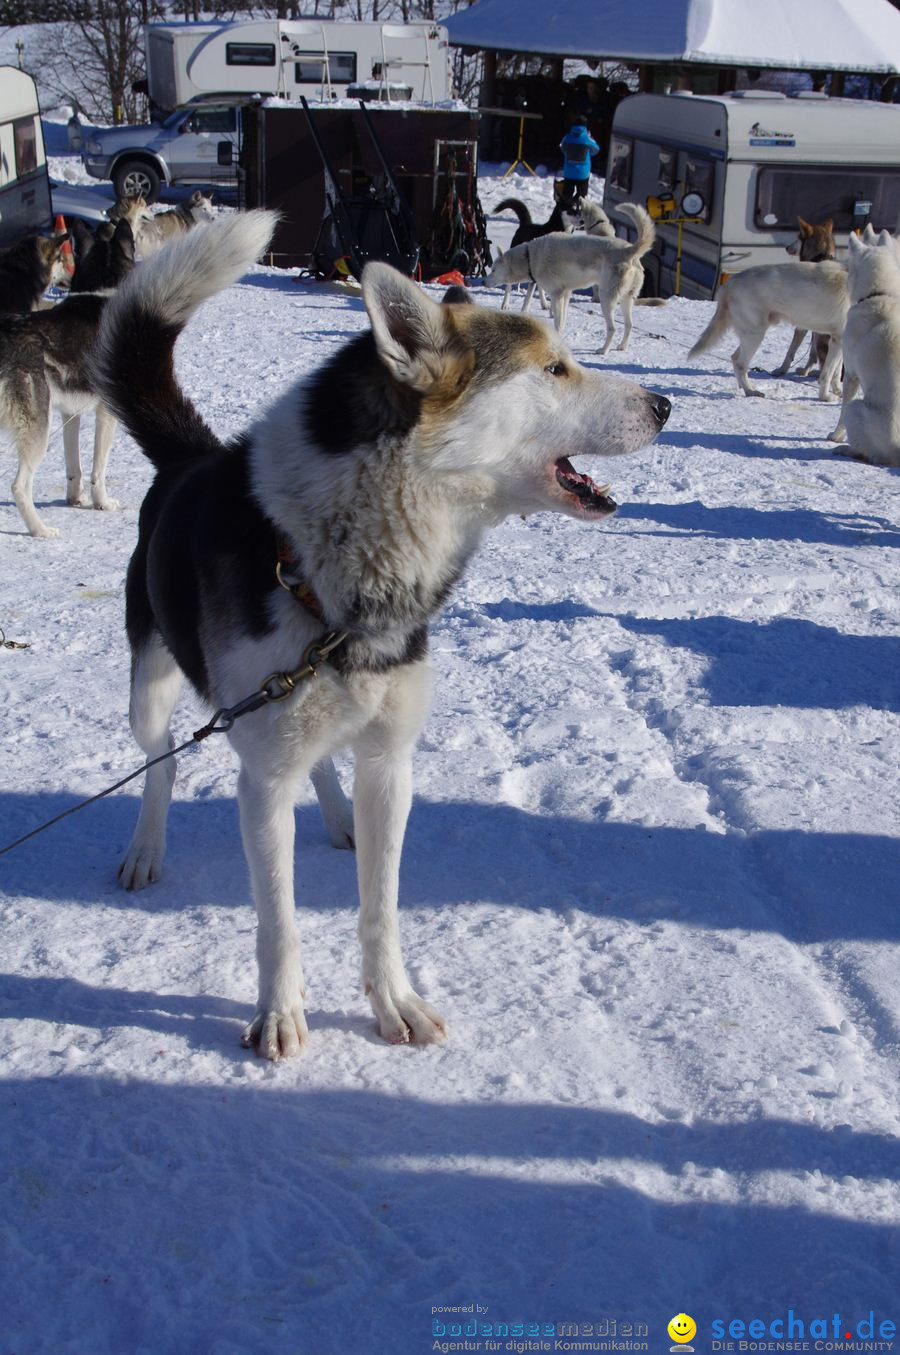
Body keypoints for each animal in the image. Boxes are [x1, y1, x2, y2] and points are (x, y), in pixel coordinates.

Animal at [91, 214, 672, 1056]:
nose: (664, 403)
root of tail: (189, 458)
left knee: (324, 764)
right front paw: (278, 1013)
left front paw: (393, 1000)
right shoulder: (263, 780)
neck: (329, 569)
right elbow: (279, 921)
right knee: (161, 762)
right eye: (556, 368)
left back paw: (338, 818)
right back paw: (145, 846)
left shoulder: (391, 763)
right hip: (151, 688)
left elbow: (380, 906)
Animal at [685, 257, 845, 395]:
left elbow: (836, 373)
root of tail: (730, 283)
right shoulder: (836, 340)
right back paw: (750, 391)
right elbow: (827, 374)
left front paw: (838, 391)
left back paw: (745, 387)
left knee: (734, 358)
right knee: (740, 363)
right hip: (755, 335)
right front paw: (825, 396)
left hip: (750, 335)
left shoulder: (841, 343)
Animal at [824, 227, 900, 466]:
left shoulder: (850, 376)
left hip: (856, 408)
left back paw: (845, 448)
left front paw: (835, 436)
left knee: (866, 453)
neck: (879, 294)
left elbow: (840, 412)